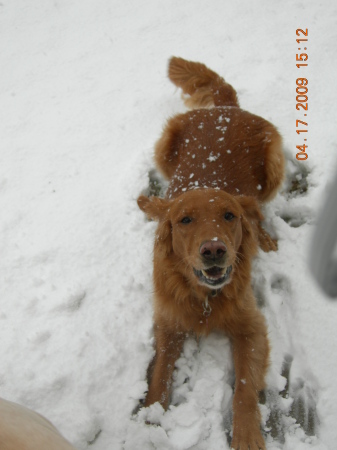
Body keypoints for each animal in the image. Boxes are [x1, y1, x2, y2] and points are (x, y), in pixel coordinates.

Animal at [137, 58, 284, 448]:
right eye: (185, 220)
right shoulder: (169, 322)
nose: (214, 250)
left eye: (229, 216)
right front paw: (151, 423)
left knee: (259, 209)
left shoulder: (251, 325)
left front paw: (246, 435)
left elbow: (244, 388)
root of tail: (224, 109)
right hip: (163, 147)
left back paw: (265, 236)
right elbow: (159, 376)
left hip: (273, 166)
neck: (204, 297)